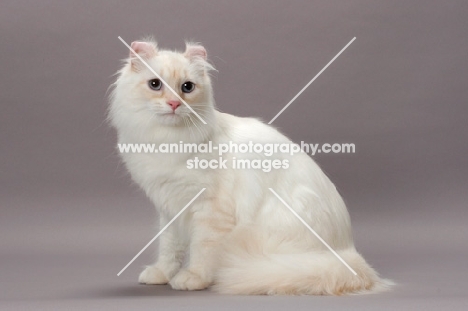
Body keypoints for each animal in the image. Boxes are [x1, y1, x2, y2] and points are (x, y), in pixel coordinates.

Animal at [109, 38, 392, 294]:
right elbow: (169, 248)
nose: (174, 104)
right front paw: (161, 274)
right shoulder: (170, 208)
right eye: (155, 84)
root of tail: (349, 255)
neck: (166, 140)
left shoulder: (209, 210)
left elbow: (201, 249)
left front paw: (194, 278)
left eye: (187, 87)